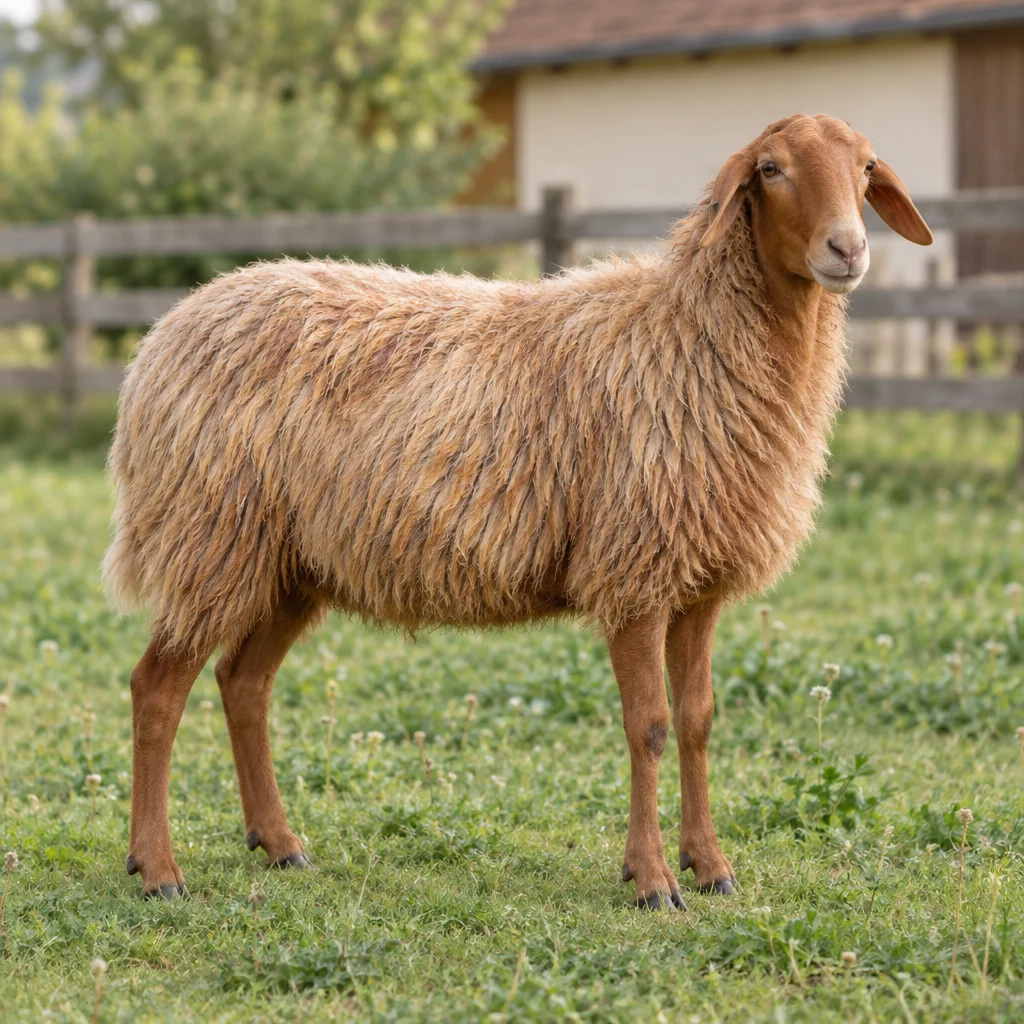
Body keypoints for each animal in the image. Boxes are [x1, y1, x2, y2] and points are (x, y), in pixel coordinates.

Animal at [104, 114, 933, 904]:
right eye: (770, 168)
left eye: (866, 167)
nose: (847, 249)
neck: (685, 334)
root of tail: (166, 335)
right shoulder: (633, 571)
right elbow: (648, 727)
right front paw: (652, 880)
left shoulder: (699, 580)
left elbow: (697, 722)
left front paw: (711, 867)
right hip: (209, 535)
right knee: (157, 690)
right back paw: (157, 869)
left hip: (289, 562)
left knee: (243, 684)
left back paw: (277, 843)